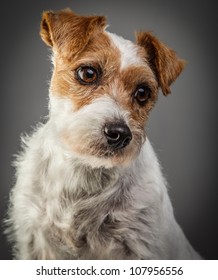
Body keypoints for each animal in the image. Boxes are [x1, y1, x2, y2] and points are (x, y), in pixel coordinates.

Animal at [5, 7, 202, 260]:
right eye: (88, 73)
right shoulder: (33, 239)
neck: (85, 171)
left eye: (142, 93)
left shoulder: (141, 244)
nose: (120, 133)